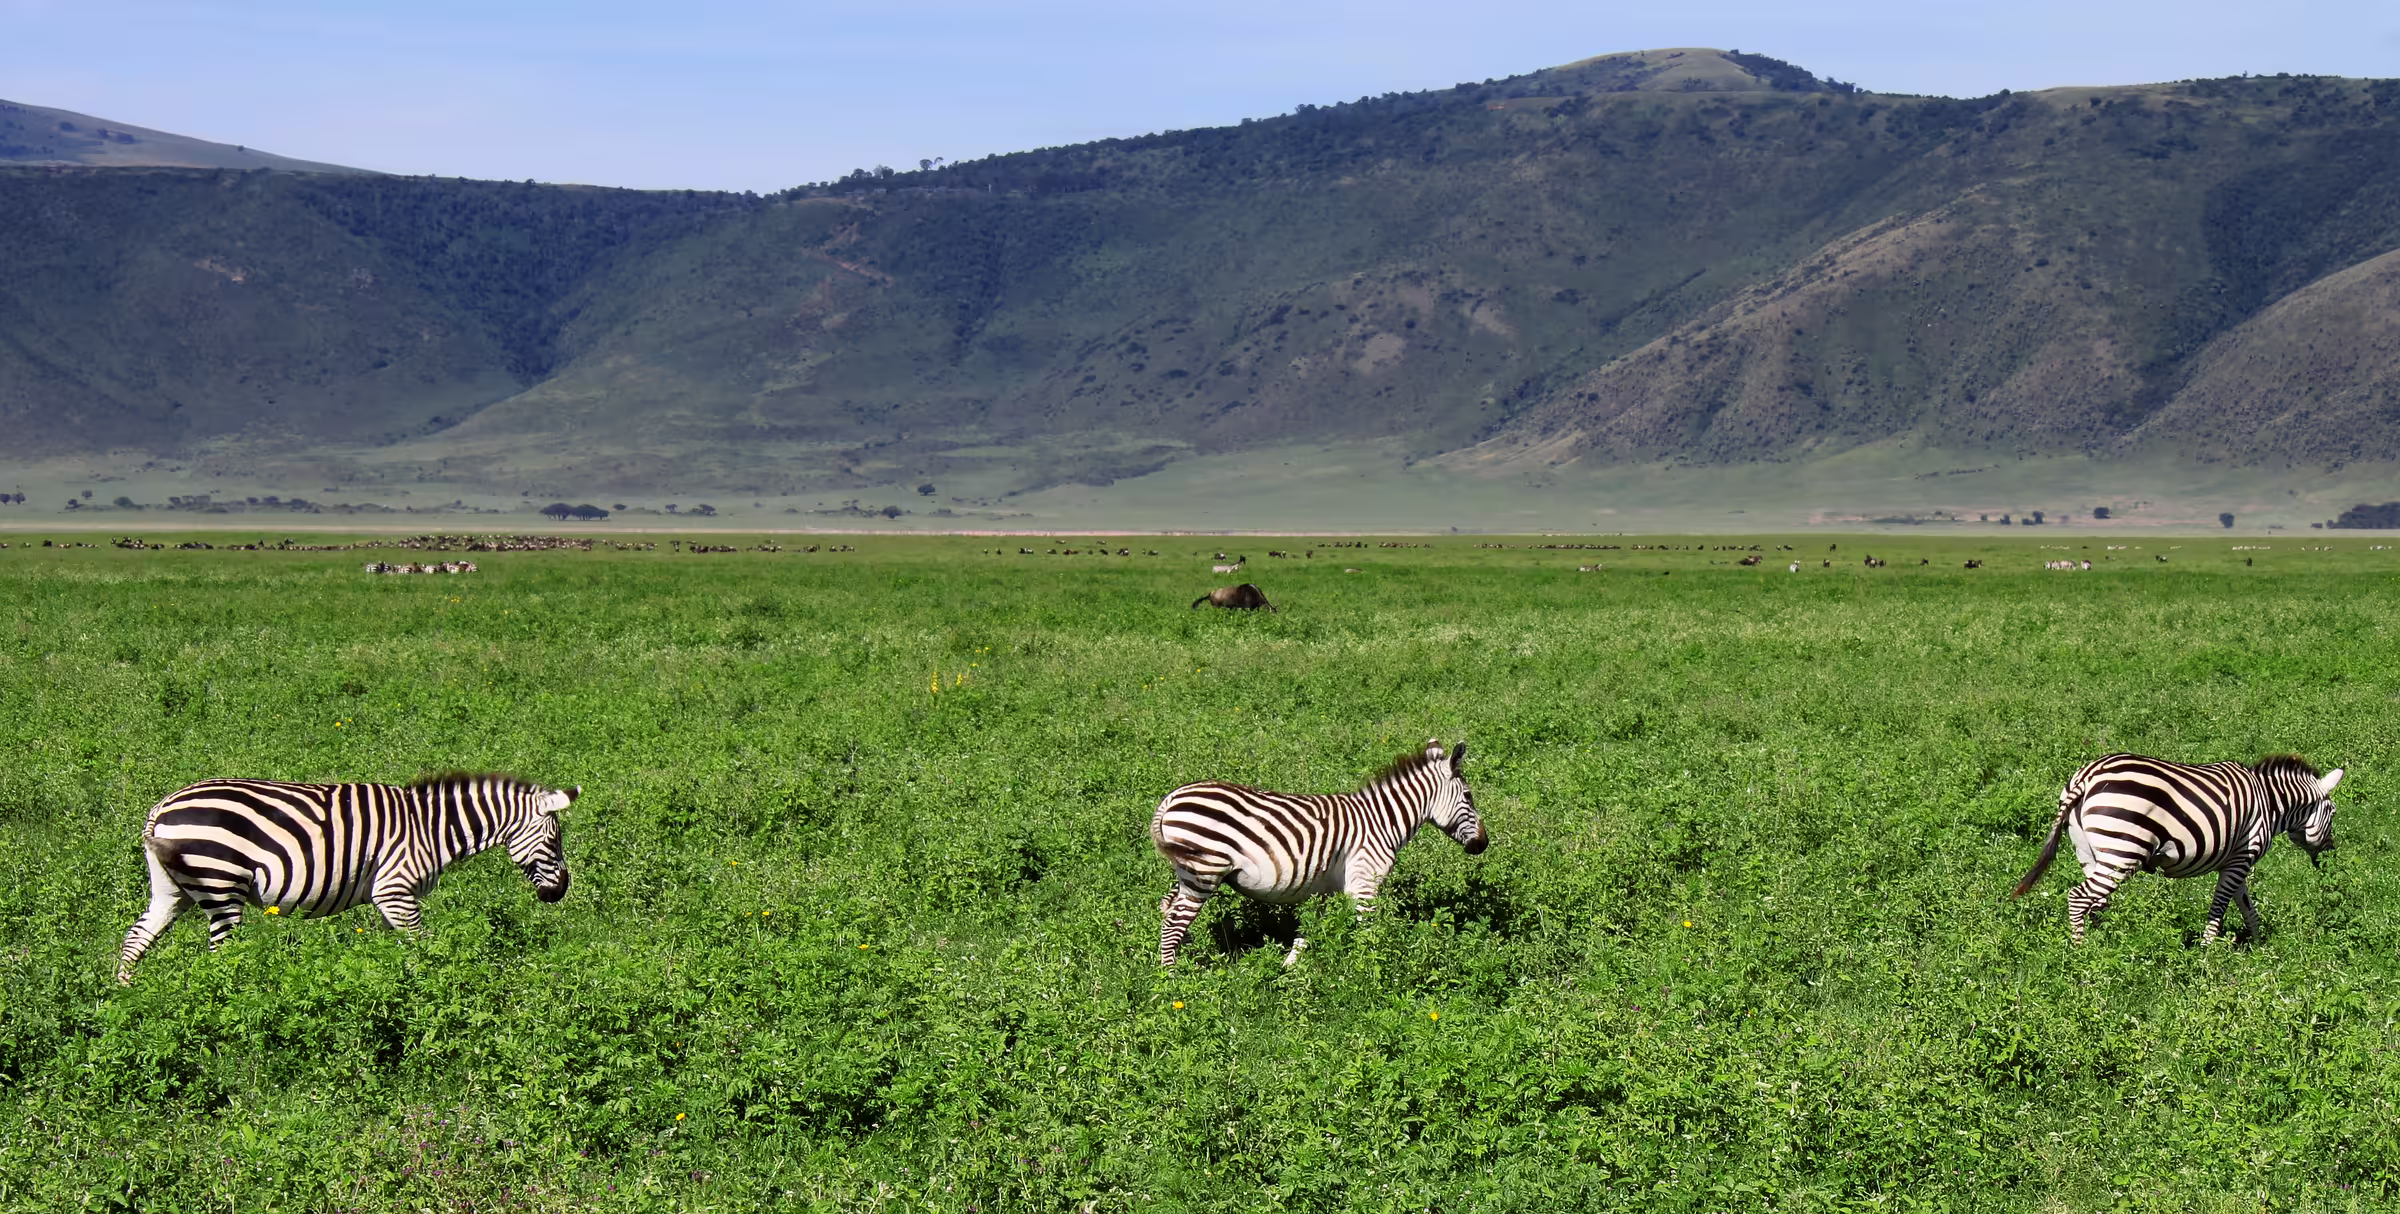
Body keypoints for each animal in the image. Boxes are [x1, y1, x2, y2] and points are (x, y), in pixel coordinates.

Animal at [117, 773, 578, 983]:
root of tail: (162, 807)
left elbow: (395, 952)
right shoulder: (396, 889)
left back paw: (124, 998)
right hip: (221, 887)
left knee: (135, 938)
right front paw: (433, 987)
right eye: (554, 839)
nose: (560, 893)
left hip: (173, 889)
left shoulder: (387, 899)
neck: (431, 828)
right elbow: (423, 948)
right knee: (220, 954)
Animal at [1149, 740, 1485, 966]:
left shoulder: (1325, 887)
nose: (1483, 844)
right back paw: (1172, 983)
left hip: (1189, 873)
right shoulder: (1364, 882)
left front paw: (1289, 971)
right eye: (1469, 797)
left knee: (1167, 909)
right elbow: (1369, 932)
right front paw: (1372, 971)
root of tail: (1172, 798)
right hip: (1204, 872)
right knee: (1173, 924)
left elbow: (1308, 932)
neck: (1381, 820)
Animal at [2011, 753, 2341, 945]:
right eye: (2334, 812)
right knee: (2079, 897)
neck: (2270, 803)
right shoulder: (2241, 859)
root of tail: (2087, 776)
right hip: (2123, 851)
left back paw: (2107, 946)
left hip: (2088, 851)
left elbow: (2247, 907)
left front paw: (2260, 948)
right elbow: (2220, 907)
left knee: (2096, 901)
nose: (2329, 856)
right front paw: (2207, 954)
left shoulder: (2235, 861)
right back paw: (2081, 953)